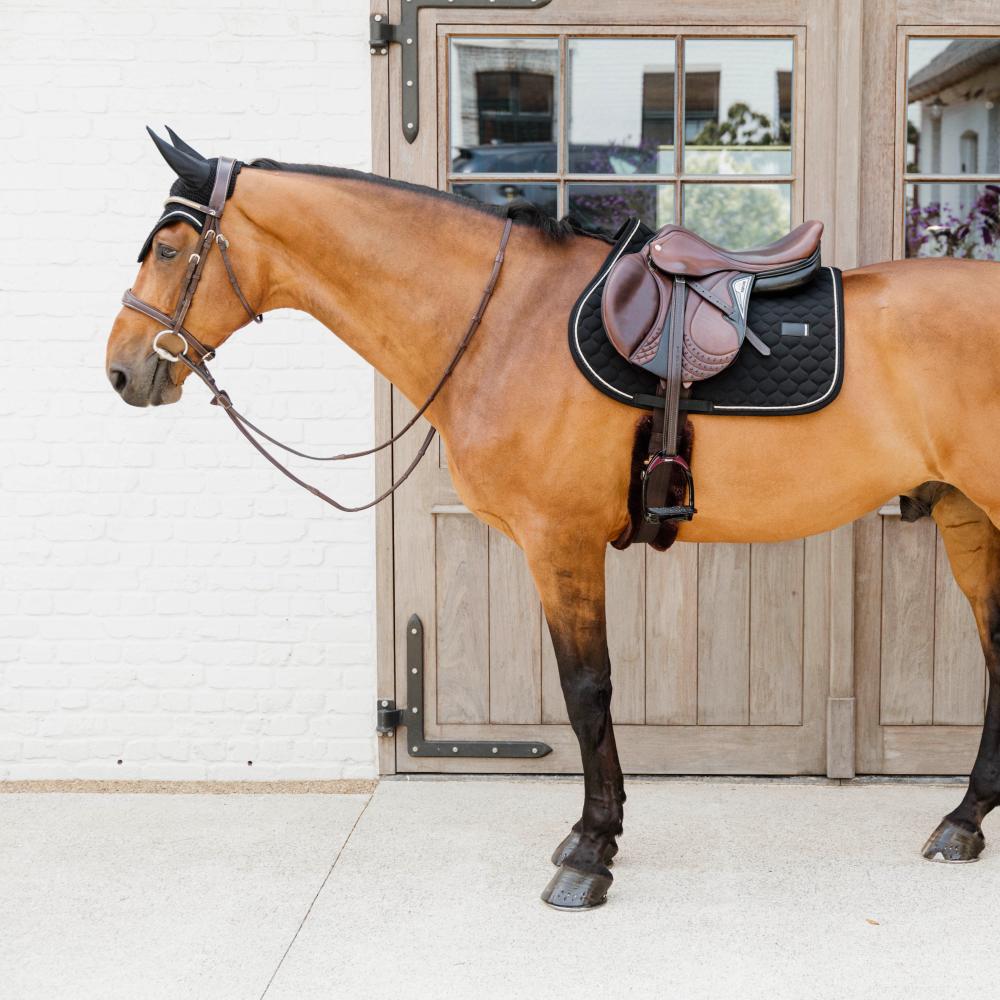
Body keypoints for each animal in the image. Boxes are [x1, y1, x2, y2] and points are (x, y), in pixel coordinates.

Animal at [106, 129, 1000, 909]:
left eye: (170, 248)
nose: (122, 370)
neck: (505, 322)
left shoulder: (559, 541)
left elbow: (586, 689)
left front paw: (591, 852)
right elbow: (586, 694)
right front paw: (594, 836)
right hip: (966, 517)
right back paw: (962, 821)